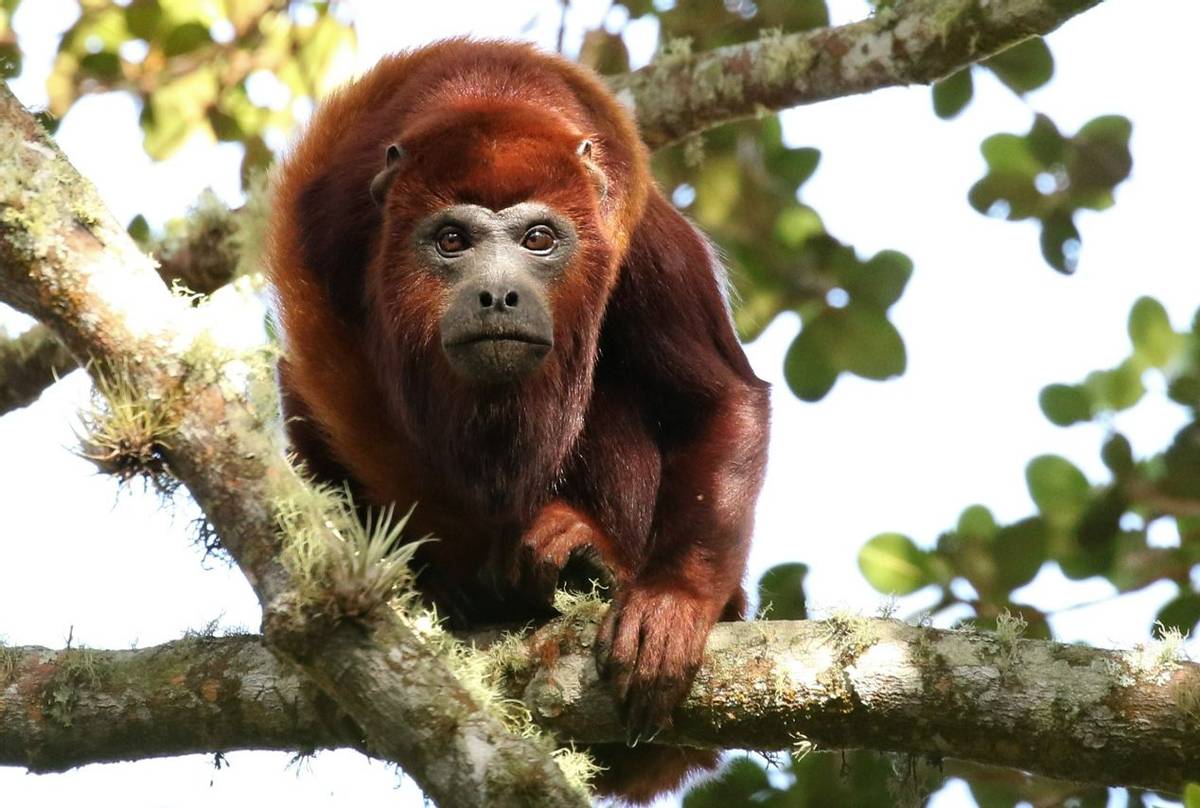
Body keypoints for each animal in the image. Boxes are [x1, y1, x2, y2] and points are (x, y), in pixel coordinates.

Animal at [268, 39, 772, 801]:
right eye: (452, 240)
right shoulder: (329, 230)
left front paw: (673, 600)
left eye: (538, 239)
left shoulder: (638, 235)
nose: (499, 294)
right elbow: (313, 388)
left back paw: (597, 564)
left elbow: (719, 401)